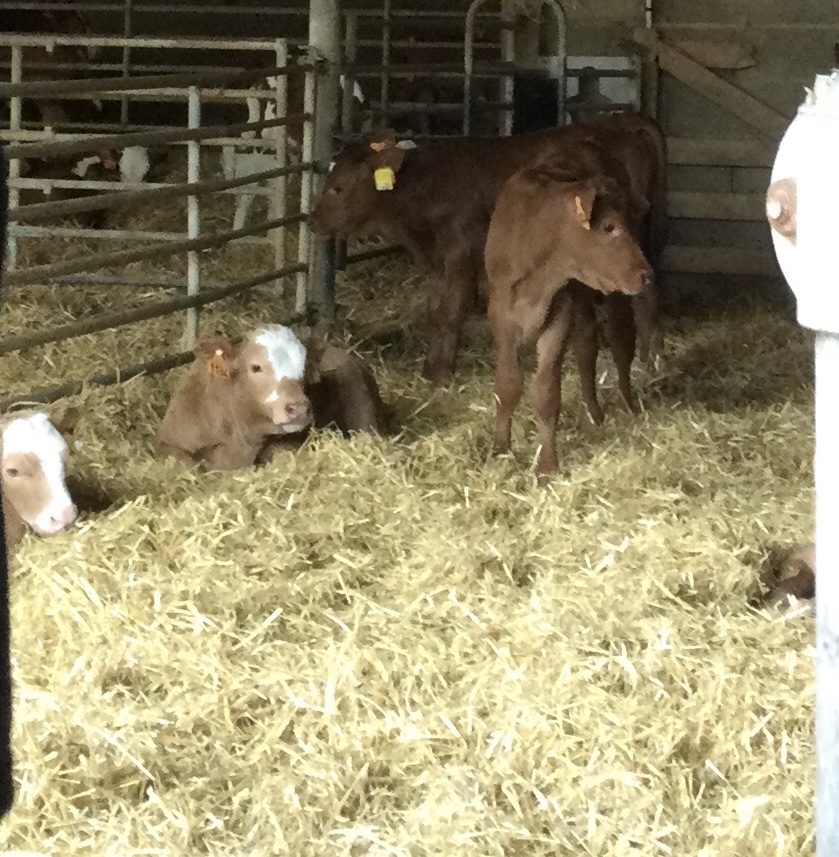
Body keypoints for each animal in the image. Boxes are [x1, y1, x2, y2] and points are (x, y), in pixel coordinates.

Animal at [310, 113, 668, 384]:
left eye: (337, 187)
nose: (313, 222)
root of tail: (625, 118)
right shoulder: (437, 260)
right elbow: (434, 310)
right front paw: (430, 369)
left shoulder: (461, 254)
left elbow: (450, 311)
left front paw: (442, 373)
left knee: (648, 294)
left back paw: (652, 362)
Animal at [486, 144, 656, 484]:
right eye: (608, 226)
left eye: (626, 223)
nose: (646, 274)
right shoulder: (500, 314)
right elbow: (508, 384)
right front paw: (501, 449)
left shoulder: (559, 314)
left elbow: (546, 391)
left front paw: (547, 467)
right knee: (587, 347)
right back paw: (592, 413)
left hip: (612, 295)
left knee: (621, 342)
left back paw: (626, 405)